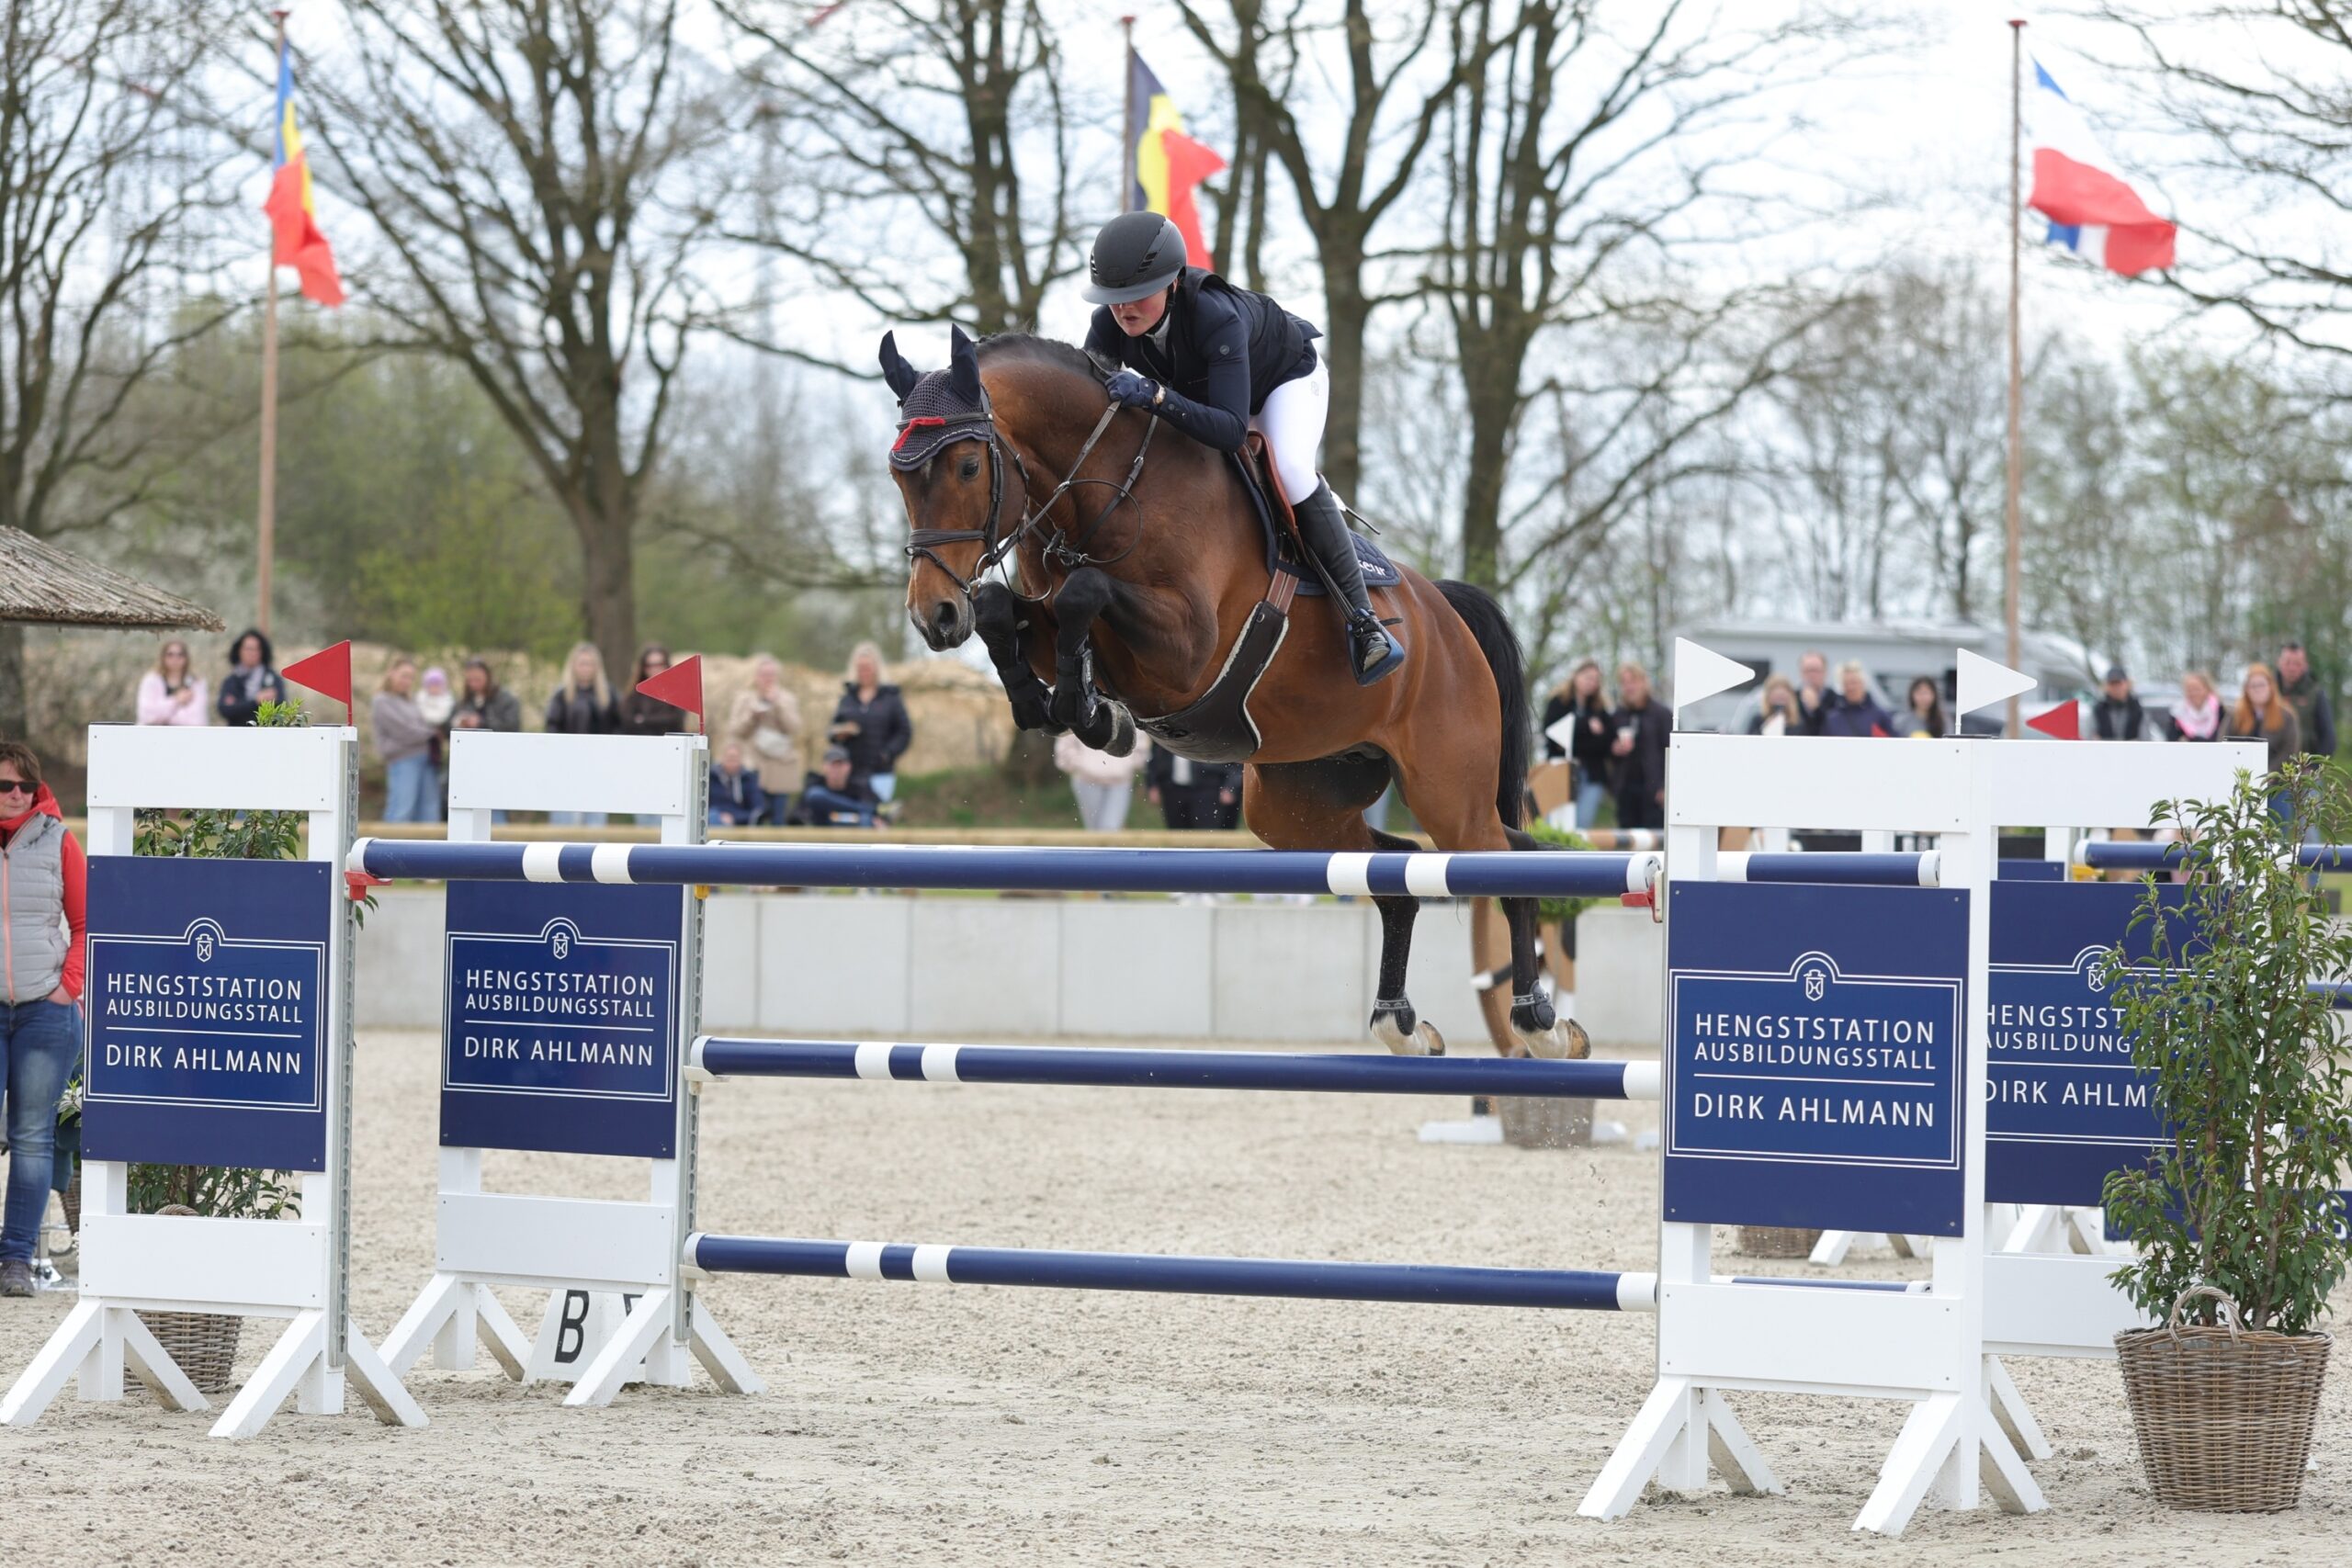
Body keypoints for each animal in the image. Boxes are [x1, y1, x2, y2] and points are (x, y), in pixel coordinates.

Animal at [878, 325, 1587, 1061]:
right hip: (1296, 803)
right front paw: (1062, 707)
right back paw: (1401, 1023)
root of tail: (1446, 614)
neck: (1106, 489)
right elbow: (1005, 607)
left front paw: (1092, 713)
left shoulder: (1187, 647)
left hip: (1447, 789)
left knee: (1502, 863)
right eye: (899, 475)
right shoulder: (1055, 620)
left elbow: (1086, 592)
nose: (933, 617)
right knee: (1403, 869)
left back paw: (1539, 1022)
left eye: (967, 467)